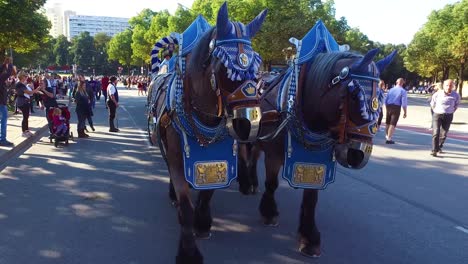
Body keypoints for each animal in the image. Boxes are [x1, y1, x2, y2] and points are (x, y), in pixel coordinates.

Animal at [150, 2, 266, 264]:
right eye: (226, 69)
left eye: (257, 68)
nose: (249, 124)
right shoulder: (178, 158)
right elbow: (185, 205)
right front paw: (188, 252)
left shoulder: (217, 157)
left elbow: (208, 193)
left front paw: (203, 222)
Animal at [238, 48, 394, 256]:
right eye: (354, 96)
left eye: (382, 99)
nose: (358, 155)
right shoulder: (274, 154)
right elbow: (271, 184)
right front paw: (269, 212)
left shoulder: (316, 159)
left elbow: (312, 198)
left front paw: (309, 236)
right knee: (243, 153)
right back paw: (245, 183)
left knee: (253, 156)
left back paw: (253, 182)